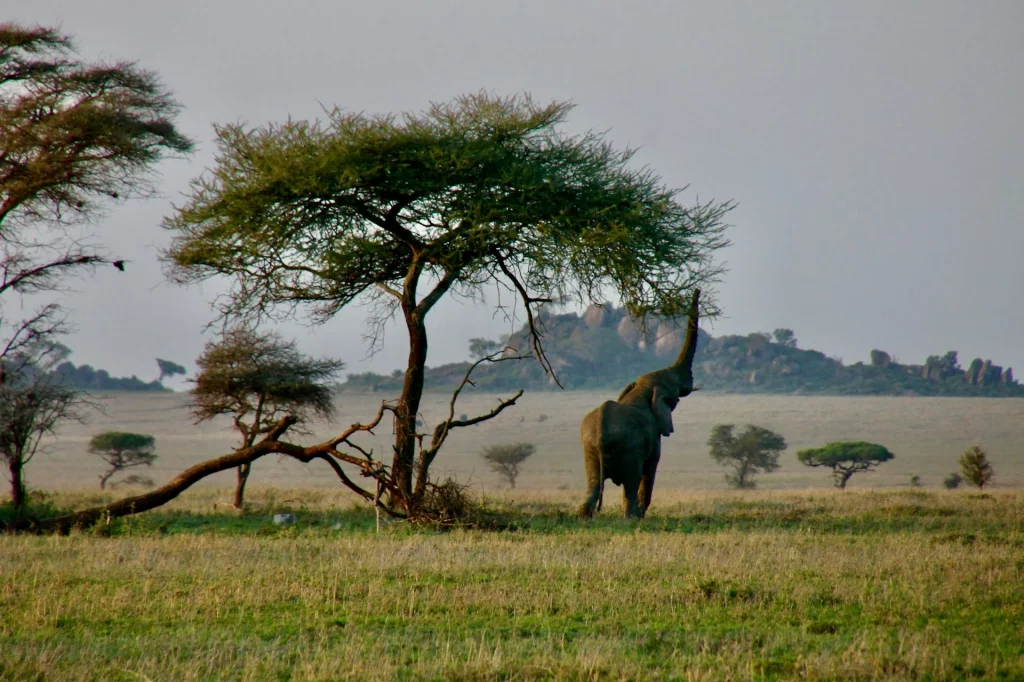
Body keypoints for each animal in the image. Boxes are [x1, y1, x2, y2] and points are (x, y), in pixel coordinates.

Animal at [581, 286, 700, 516]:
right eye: (674, 391)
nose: (698, 289)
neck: (642, 389)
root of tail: (601, 430)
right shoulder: (654, 436)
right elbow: (650, 469)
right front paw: (642, 515)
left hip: (589, 447)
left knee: (592, 485)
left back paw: (584, 517)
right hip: (629, 446)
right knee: (631, 481)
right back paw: (632, 518)